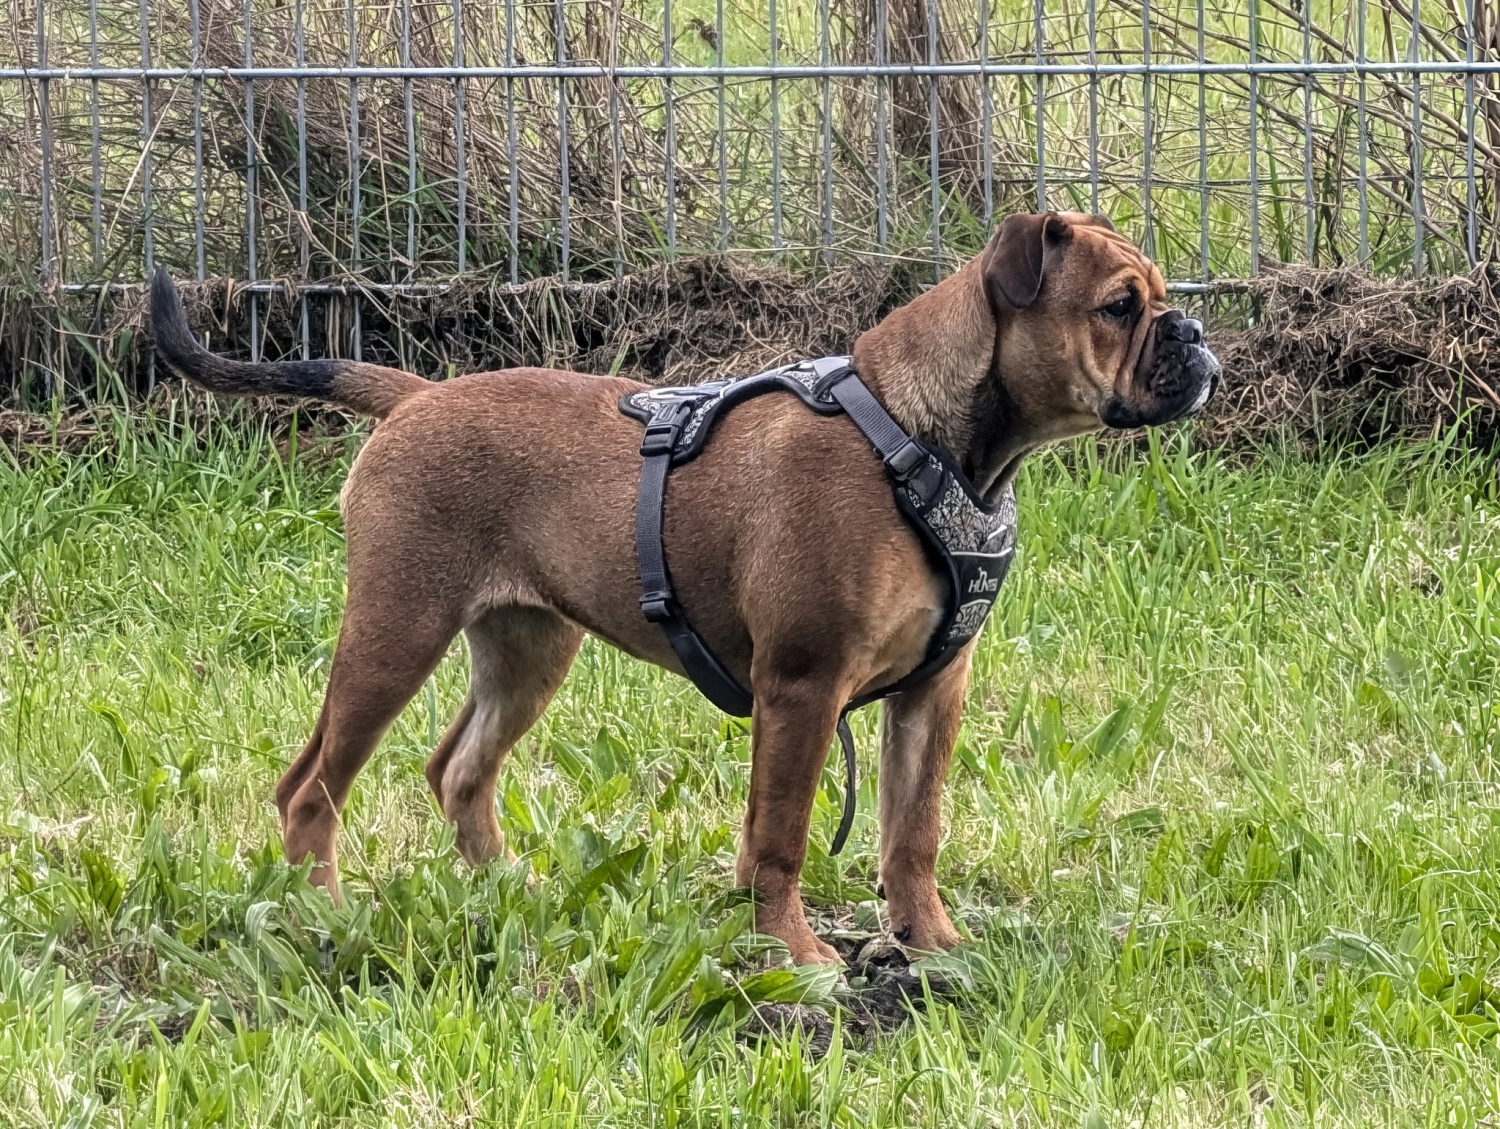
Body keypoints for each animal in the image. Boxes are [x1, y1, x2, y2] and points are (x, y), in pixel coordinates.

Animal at [149, 209, 1218, 959]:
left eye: (1159, 295)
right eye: (1119, 306)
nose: (1195, 330)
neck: (925, 442)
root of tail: (414, 398)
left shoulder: (930, 693)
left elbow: (912, 831)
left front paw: (932, 943)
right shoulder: (802, 688)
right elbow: (781, 832)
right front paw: (792, 951)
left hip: (528, 647)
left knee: (459, 768)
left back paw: (509, 892)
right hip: (395, 631)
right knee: (311, 788)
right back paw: (320, 914)